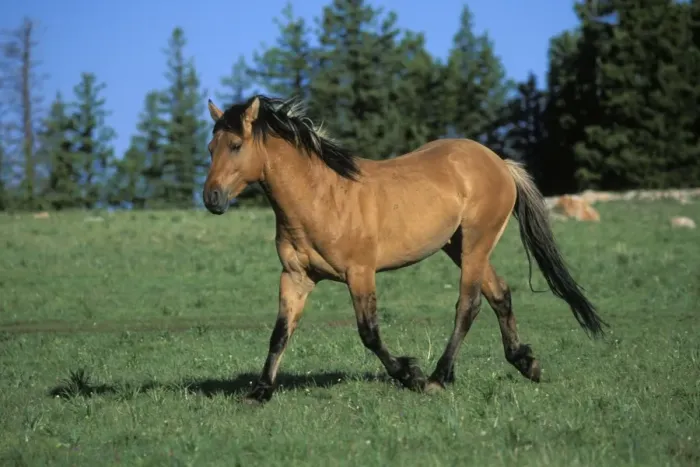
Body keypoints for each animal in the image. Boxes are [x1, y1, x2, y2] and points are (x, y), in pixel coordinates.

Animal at [202, 94, 607, 404]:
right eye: (210, 148)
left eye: (235, 145)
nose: (211, 199)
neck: (322, 198)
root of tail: (500, 163)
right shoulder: (296, 278)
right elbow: (280, 333)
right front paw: (260, 391)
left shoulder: (360, 274)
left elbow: (369, 333)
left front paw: (409, 374)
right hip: (457, 245)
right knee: (500, 294)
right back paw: (526, 363)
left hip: (476, 243)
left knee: (469, 304)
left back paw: (438, 377)